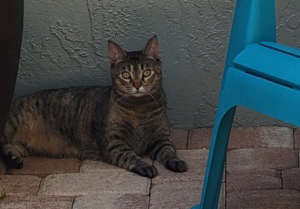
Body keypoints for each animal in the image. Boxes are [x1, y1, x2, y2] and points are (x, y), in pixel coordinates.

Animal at [0, 36, 188, 178]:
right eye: (126, 75)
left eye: (146, 73)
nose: (136, 85)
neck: (139, 108)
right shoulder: (114, 143)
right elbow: (131, 157)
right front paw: (145, 165)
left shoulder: (161, 138)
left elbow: (169, 151)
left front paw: (176, 162)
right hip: (9, 126)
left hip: (21, 145)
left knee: (7, 148)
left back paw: (14, 160)